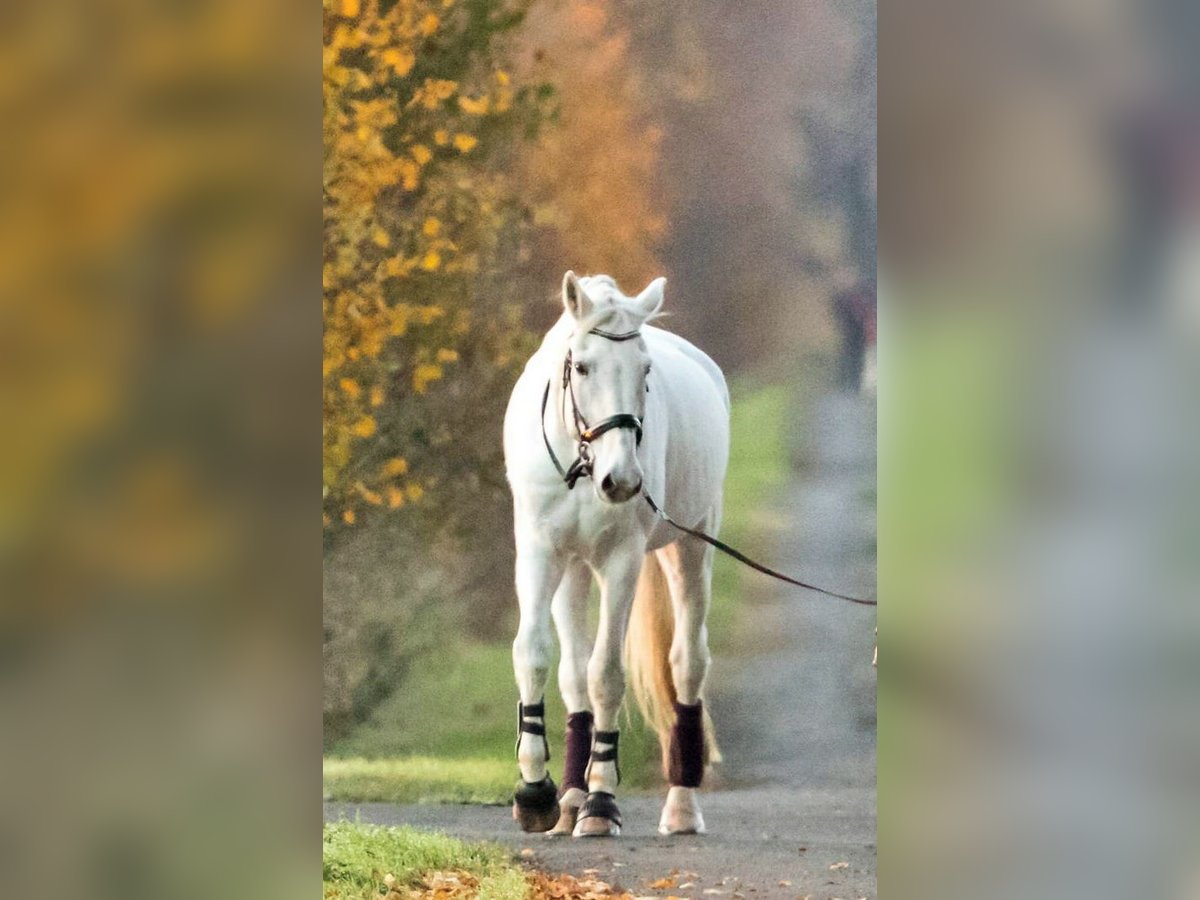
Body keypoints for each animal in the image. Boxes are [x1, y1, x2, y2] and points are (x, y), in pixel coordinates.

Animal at [501, 273, 724, 840]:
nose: (621, 481)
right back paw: (569, 800)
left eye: (645, 370)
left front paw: (602, 802)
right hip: (574, 570)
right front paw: (536, 794)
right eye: (582, 367)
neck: (582, 463)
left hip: (692, 546)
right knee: (573, 672)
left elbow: (606, 674)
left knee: (686, 663)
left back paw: (680, 807)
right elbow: (534, 655)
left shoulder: (623, 561)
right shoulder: (540, 553)